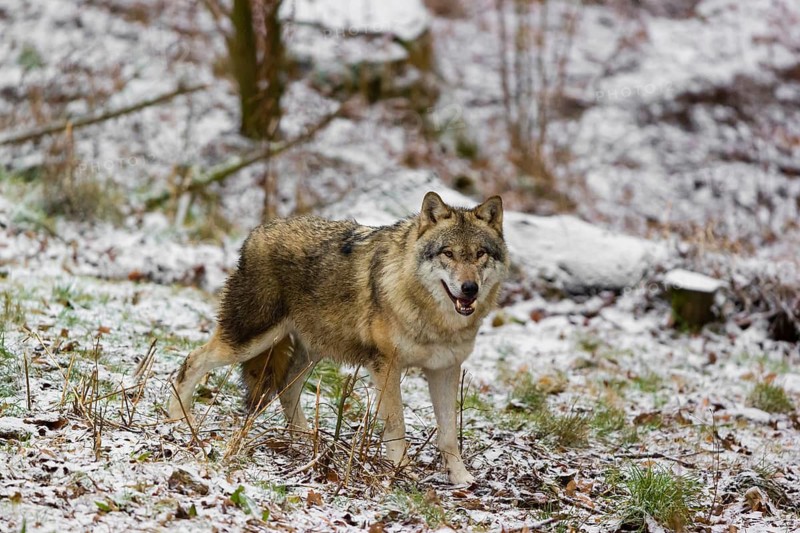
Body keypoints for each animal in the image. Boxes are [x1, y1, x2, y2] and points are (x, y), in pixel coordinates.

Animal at [168, 191, 509, 484]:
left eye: (480, 254)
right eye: (448, 253)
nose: (469, 289)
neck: (435, 319)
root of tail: (258, 231)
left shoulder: (445, 370)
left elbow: (449, 433)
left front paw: (461, 479)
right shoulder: (387, 367)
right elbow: (397, 424)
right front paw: (400, 469)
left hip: (310, 351)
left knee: (285, 388)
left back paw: (306, 442)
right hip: (249, 340)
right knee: (192, 361)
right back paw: (177, 420)